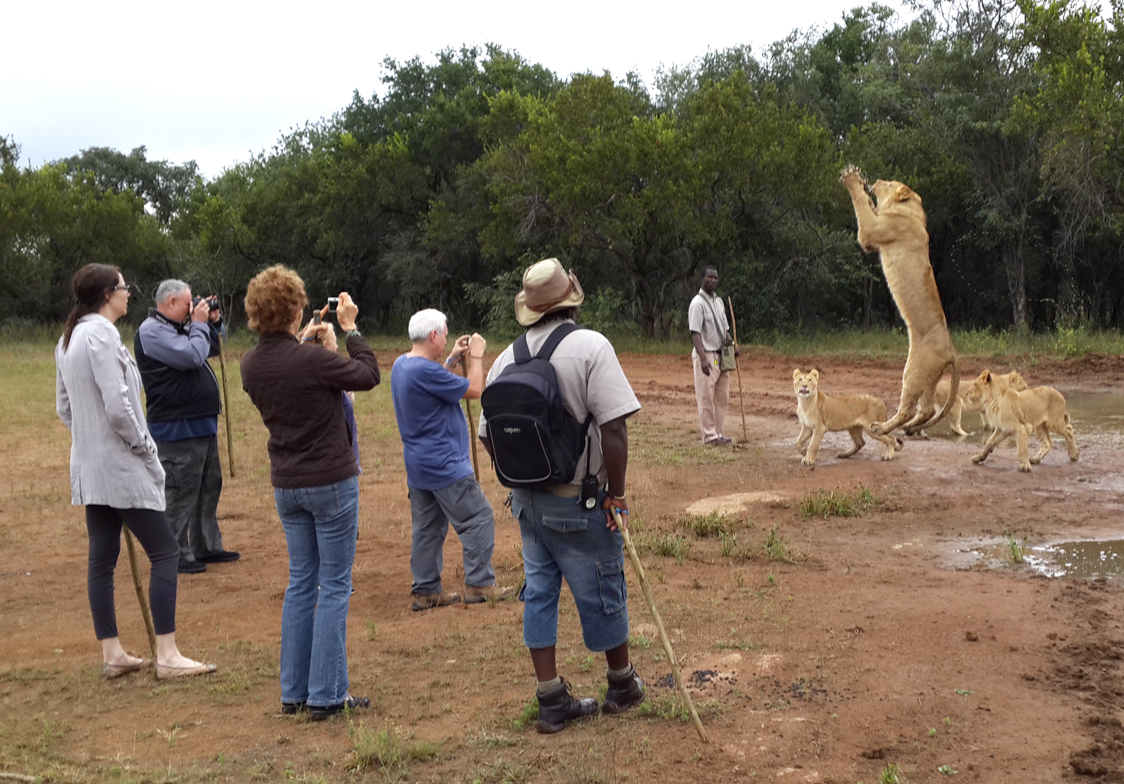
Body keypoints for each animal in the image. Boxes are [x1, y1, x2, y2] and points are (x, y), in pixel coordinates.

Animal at [845, 163, 957, 433]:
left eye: (888, 183)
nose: (877, 180)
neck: (910, 211)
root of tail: (951, 351)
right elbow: (868, 206)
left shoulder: (871, 233)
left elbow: (862, 209)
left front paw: (852, 178)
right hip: (930, 379)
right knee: (926, 410)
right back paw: (908, 429)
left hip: (913, 372)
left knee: (908, 408)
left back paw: (883, 427)